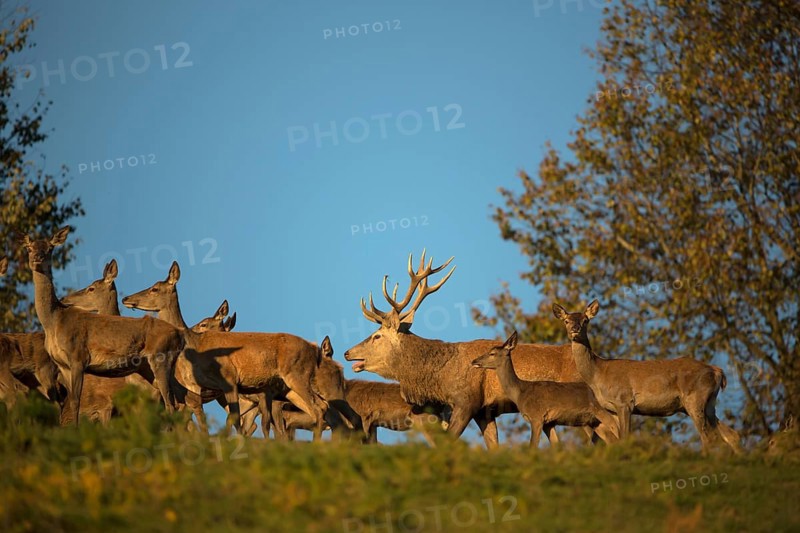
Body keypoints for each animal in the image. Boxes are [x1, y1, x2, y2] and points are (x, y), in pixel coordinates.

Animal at [21, 226, 186, 425]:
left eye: (50, 248)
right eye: (28, 247)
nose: (37, 258)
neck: (54, 321)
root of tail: (180, 336)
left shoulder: (79, 357)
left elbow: (75, 402)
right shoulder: (62, 365)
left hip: (160, 358)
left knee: (171, 403)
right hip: (150, 368)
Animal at [121, 261, 334, 437]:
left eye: (154, 288)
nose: (126, 298)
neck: (193, 344)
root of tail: (314, 351)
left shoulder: (229, 380)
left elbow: (234, 420)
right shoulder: (198, 385)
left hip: (295, 376)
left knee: (317, 408)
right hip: (288, 388)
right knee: (320, 407)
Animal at [471, 331, 619, 448]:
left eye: (492, 353)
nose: (474, 361)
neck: (520, 391)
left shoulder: (536, 416)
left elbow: (532, 447)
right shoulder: (549, 422)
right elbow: (556, 445)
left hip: (604, 412)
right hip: (595, 421)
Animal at [553, 300, 741, 452]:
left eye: (586, 320)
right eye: (566, 321)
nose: (575, 330)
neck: (597, 374)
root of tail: (717, 371)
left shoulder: (625, 401)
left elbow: (625, 437)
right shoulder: (611, 408)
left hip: (694, 399)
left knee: (707, 437)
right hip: (708, 403)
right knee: (730, 434)